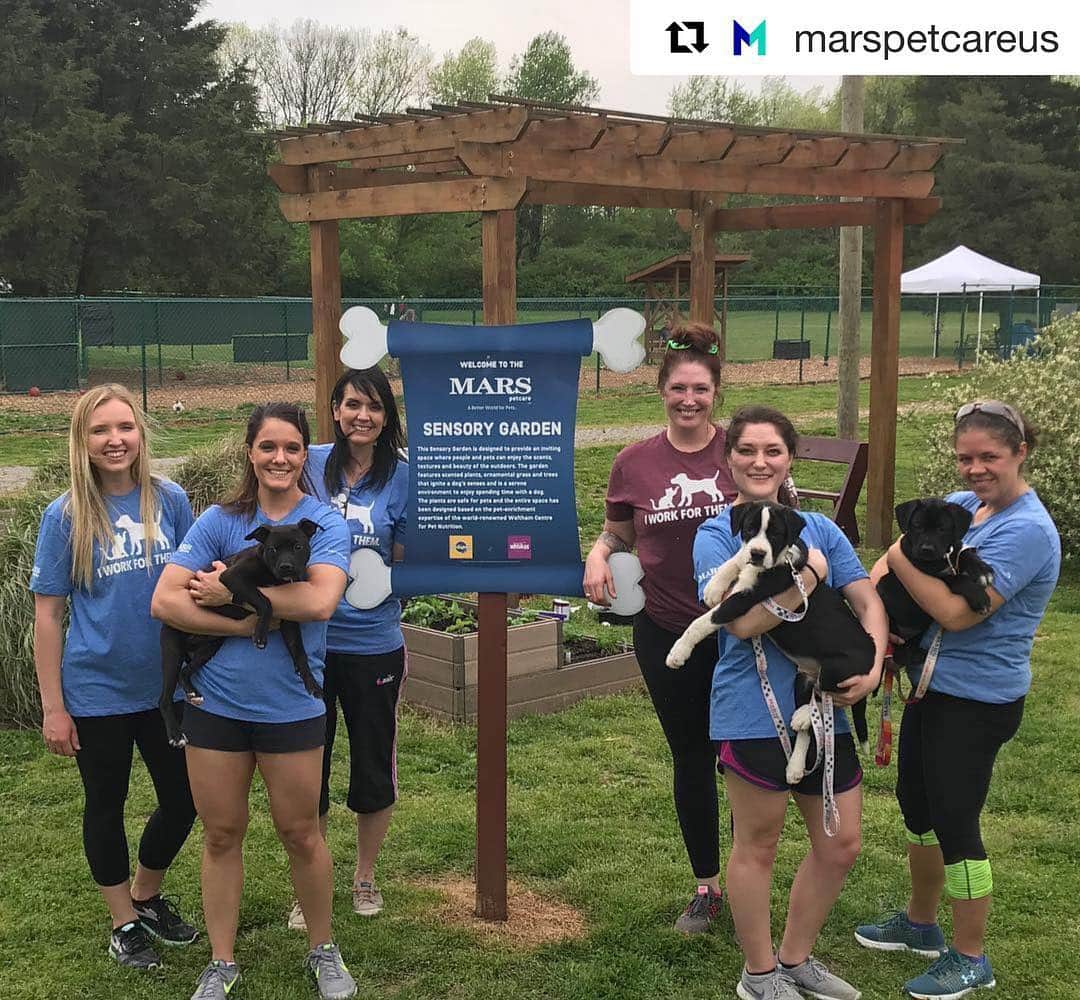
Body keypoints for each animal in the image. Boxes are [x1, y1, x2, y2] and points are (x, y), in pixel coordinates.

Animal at [157, 520, 321, 747]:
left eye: (298, 547)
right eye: (273, 549)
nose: (286, 567)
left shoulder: (289, 621)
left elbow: (300, 652)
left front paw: (311, 683)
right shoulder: (232, 577)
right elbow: (266, 601)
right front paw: (260, 634)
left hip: (210, 647)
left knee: (185, 672)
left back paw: (193, 691)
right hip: (172, 650)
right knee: (164, 698)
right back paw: (175, 734)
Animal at [665, 505, 876, 777]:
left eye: (775, 534)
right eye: (749, 529)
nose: (758, 553)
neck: (778, 561)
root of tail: (874, 650)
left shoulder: (744, 599)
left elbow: (702, 622)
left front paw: (678, 652)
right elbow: (736, 557)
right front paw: (713, 586)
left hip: (838, 667)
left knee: (827, 697)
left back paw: (802, 716)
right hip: (802, 680)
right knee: (812, 719)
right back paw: (795, 765)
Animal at [876, 498, 993, 669]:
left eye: (941, 529)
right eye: (918, 526)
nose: (927, 549)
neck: (942, 558)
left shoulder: (954, 550)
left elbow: (964, 553)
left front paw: (981, 569)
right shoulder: (925, 572)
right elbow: (955, 578)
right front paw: (979, 597)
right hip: (884, 586)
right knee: (899, 653)